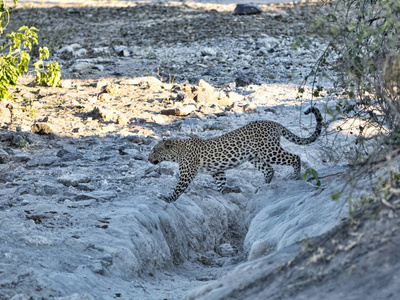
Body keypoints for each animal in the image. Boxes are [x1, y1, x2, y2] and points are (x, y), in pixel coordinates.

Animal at [148, 106, 324, 203]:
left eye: (155, 150)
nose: (149, 159)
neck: (177, 151)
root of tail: (274, 123)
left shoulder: (187, 173)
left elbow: (178, 189)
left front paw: (167, 198)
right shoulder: (217, 171)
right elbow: (221, 184)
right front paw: (230, 190)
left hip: (269, 151)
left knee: (295, 157)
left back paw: (295, 175)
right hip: (255, 157)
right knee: (269, 169)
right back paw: (262, 187)